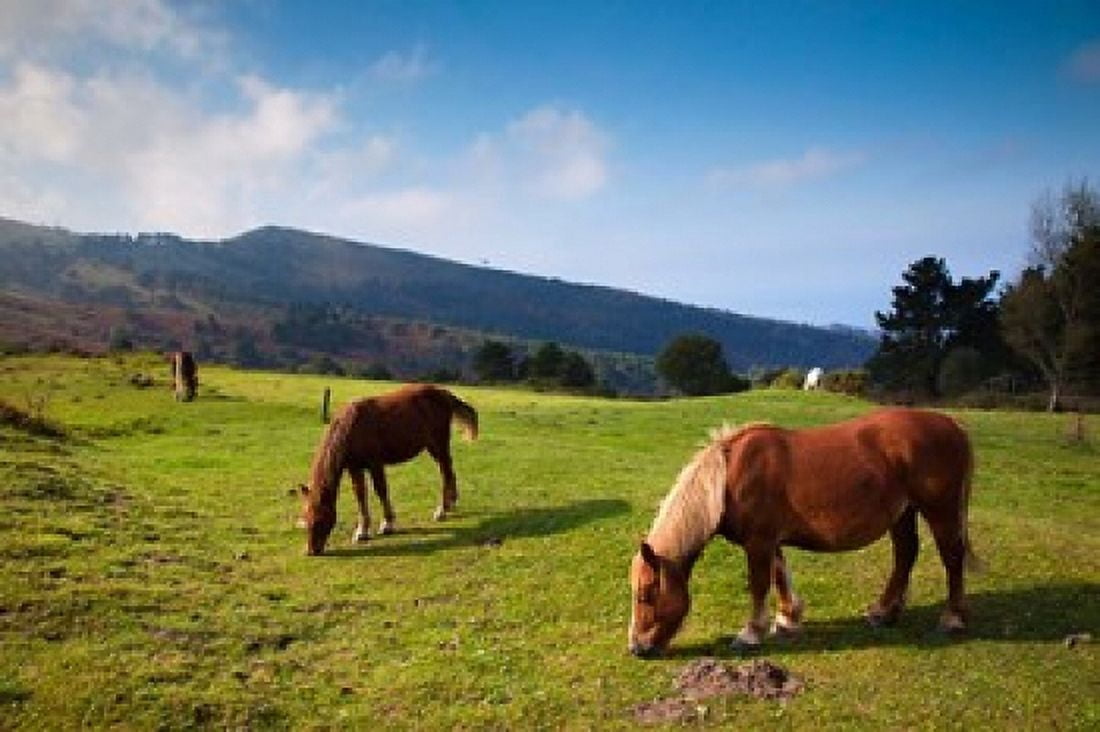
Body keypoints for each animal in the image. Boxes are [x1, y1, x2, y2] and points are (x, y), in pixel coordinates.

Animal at [298, 384, 479, 556]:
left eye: (320, 519)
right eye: (306, 518)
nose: (312, 551)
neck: (351, 428)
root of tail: (444, 393)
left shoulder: (375, 464)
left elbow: (381, 490)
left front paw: (387, 525)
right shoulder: (355, 468)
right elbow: (360, 496)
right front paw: (362, 532)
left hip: (438, 444)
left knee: (445, 472)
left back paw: (442, 510)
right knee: (448, 471)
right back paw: (451, 504)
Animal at [628, 408, 981, 657]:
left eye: (646, 594)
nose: (637, 649)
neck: (727, 478)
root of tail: (952, 424)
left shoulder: (759, 543)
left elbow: (760, 584)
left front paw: (751, 633)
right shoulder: (770, 541)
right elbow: (780, 575)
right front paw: (787, 619)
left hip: (940, 510)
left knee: (951, 557)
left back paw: (952, 617)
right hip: (904, 513)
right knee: (906, 553)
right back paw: (884, 612)